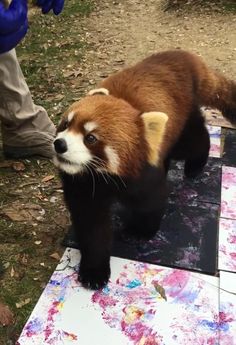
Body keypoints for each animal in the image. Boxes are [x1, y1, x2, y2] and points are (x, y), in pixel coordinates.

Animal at [53, 49, 236, 288]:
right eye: (65, 124)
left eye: (90, 138)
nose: (59, 144)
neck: (105, 177)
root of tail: (185, 57)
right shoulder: (83, 185)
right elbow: (92, 226)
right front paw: (94, 270)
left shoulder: (143, 172)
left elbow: (151, 202)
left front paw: (139, 232)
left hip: (182, 119)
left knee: (194, 139)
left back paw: (195, 165)